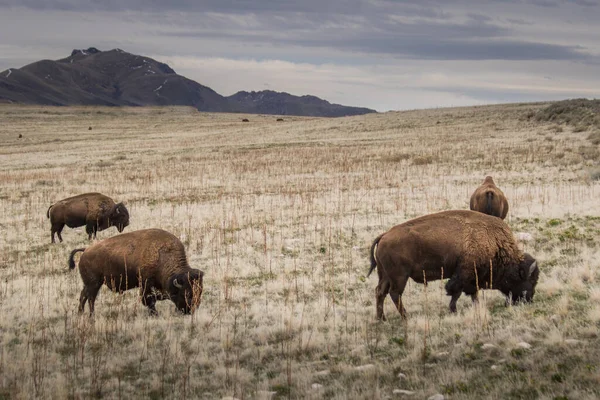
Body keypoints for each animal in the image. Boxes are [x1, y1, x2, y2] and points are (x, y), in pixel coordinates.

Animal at [68, 228, 204, 316]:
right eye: (187, 293)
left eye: (200, 291)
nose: (191, 310)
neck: (162, 255)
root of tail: (86, 250)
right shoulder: (146, 284)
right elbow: (148, 300)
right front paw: (154, 313)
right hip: (94, 284)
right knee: (90, 298)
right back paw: (91, 316)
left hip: (89, 284)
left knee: (83, 296)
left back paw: (80, 313)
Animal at [366, 211, 540, 320]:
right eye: (529, 280)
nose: (529, 299)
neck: (494, 243)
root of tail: (384, 235)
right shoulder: (464, 274)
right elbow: (456, 292)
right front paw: (453, 309)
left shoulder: (471, 278)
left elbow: (471, 293)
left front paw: (473, 307)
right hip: (399, 277)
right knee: (394, 294)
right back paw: (405, 316)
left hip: (385, 275)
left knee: (380, 292)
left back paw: (382, 318)